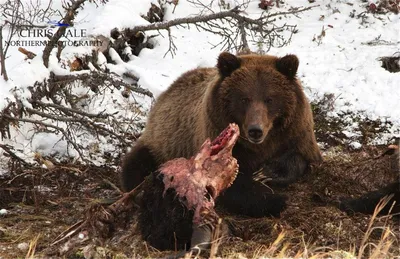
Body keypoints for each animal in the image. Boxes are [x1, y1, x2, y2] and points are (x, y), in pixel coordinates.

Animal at [121, 52, 322, 250]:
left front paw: (268, 173)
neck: (261, 145)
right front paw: (274, 198)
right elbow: (233, 185)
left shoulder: (296, 134)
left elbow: (300, 159)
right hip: (160, 142)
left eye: (270, 99)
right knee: (136, 165)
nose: (255, 130)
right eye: (244, 98)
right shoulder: (216, 138)